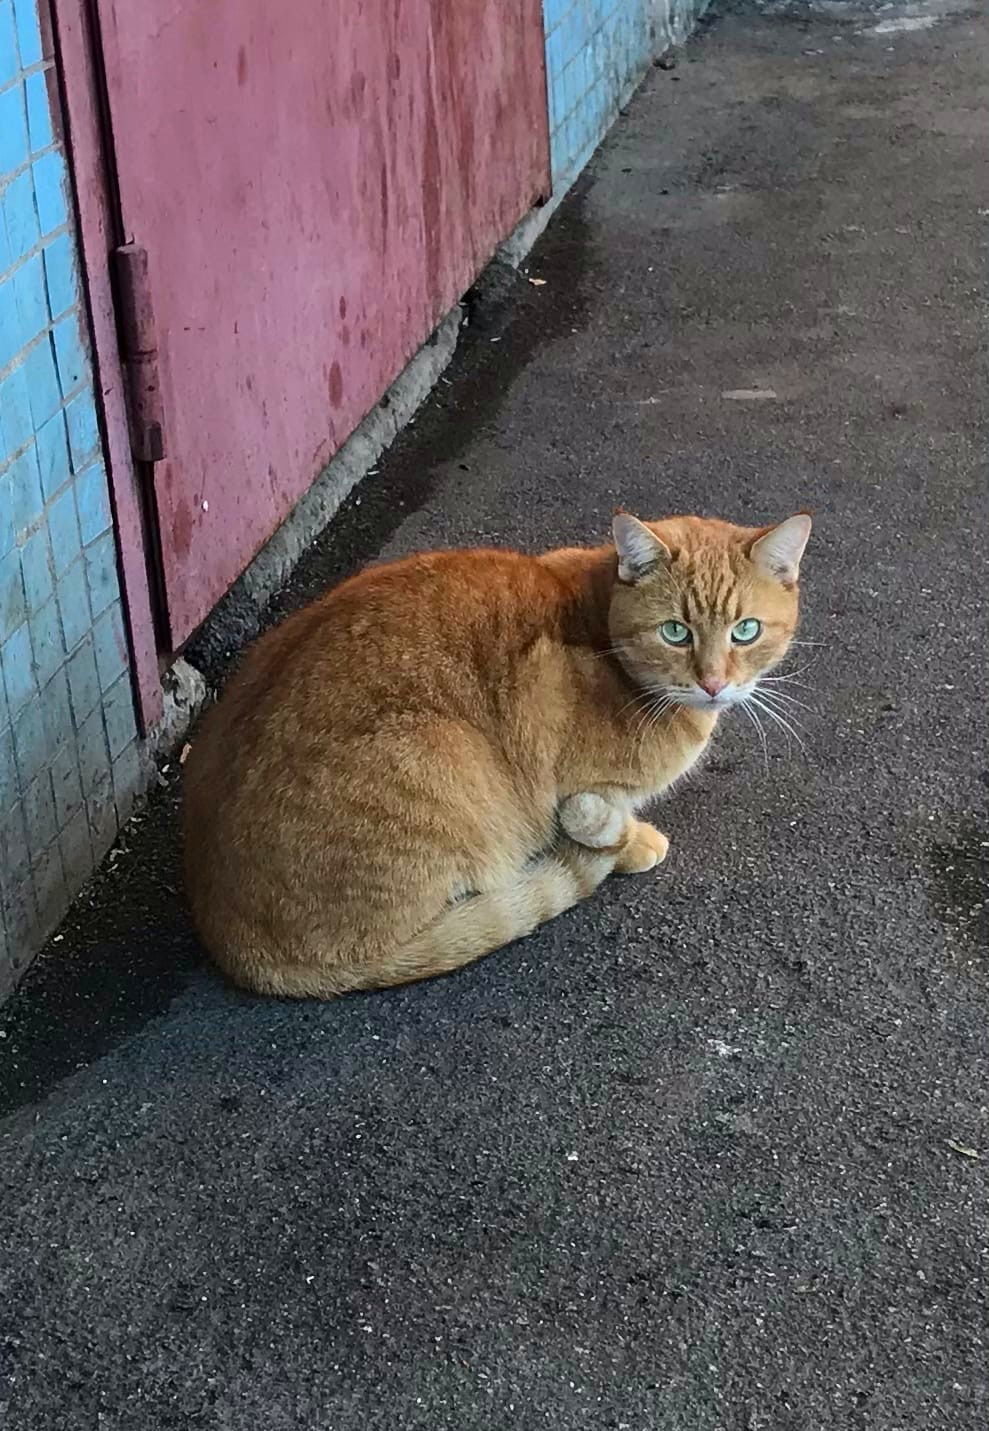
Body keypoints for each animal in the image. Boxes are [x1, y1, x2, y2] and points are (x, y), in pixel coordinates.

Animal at [183, 512, 812, 995]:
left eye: (746, 631)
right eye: (675, 632)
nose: (713, 683)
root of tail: (229, 937)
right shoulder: (576, 783)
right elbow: (598, 820)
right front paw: (632, 843)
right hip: (438, 754)